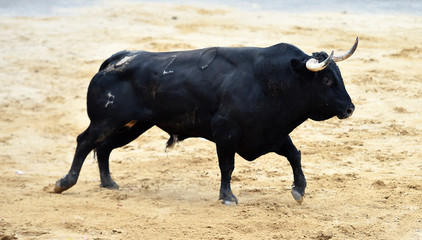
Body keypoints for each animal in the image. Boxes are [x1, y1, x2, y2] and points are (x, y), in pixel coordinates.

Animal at [54, 37, 360, 204]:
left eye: (339, 76)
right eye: (326, 80)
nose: (349, 109)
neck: (273, 80)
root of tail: (117, 59)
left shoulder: (271, 133)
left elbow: (294, 155)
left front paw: (299, 190)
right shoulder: (226, 133)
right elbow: (227, 166)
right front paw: (227, 197)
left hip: (133, 125)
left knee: (104, 148)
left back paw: (109, 183)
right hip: (107, 119)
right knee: (86, 141)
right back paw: (65, 182)